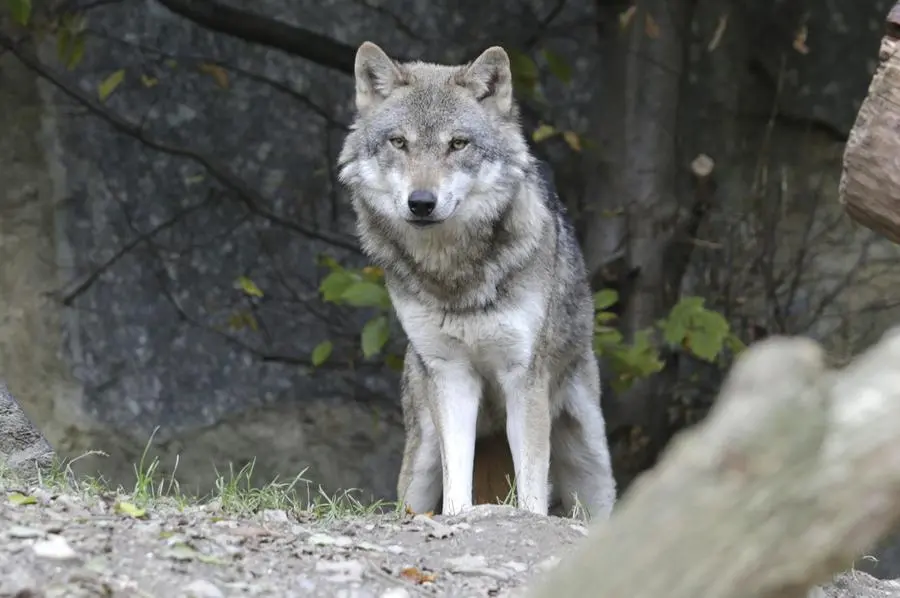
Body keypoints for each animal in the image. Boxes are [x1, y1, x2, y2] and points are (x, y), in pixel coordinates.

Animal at [338, 41, 620, 520]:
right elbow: (458, 479)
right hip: (420, 463)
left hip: (592, 468)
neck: (454, 276)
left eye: (457, 144)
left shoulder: (522, 377)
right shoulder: (451, 374)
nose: (421, 202)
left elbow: (531, 487)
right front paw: (458, 517)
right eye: (399, 142)